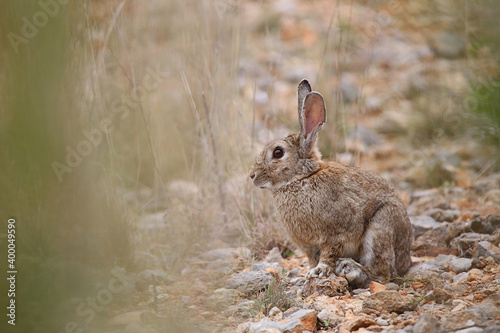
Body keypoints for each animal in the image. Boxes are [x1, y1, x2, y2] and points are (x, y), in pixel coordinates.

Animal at [248, 79, 412, 286]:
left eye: (278, 152)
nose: (252, 175)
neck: (301, 179)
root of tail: (406, 262)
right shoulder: (309, 248)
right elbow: (313, 259)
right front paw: (305, 278)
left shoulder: (336, 233)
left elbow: (328, 254)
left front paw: (319, 271)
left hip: (381, 227)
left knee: (382, 275)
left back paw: (350, 269)